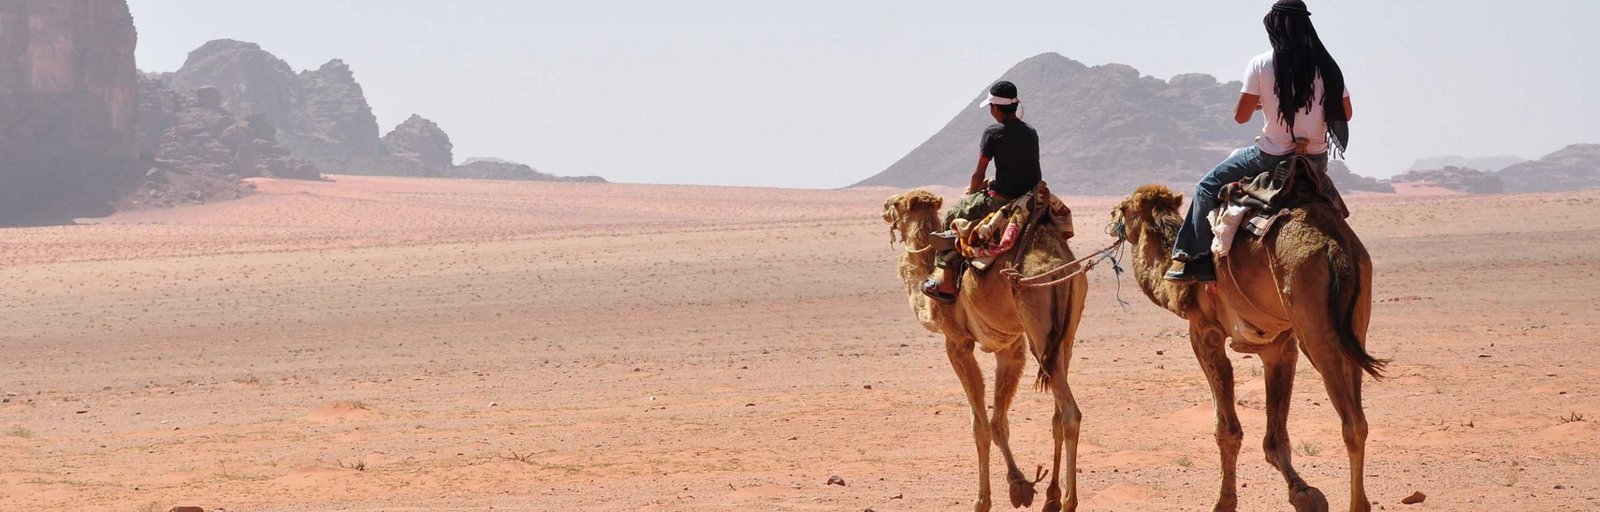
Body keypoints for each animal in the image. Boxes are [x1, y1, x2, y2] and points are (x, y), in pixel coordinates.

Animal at [882, 189, 1089, 512]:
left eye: (896, 203)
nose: (883, 208)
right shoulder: (1010, 347)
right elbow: (998, 422)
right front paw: (1019, 485)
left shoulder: (957, 342)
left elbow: (979, 425)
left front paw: (982, 500)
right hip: (1064, 335)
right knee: (1058, 413)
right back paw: (1052, 496)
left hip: (1039, 328)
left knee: (1070, 414)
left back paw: (1069, 501)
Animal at [1110, 184, 1386, 512]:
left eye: (1123, 208)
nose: (1111, 219)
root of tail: (1335, 245)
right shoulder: (1277, 346)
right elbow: (1275, 437)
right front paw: (1304, 493)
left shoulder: (1204, 332)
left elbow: (1226, 429)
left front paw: (1223, 502)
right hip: (1355, 320)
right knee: (1360, 417)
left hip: (1315, 326)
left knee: (1351, 423)